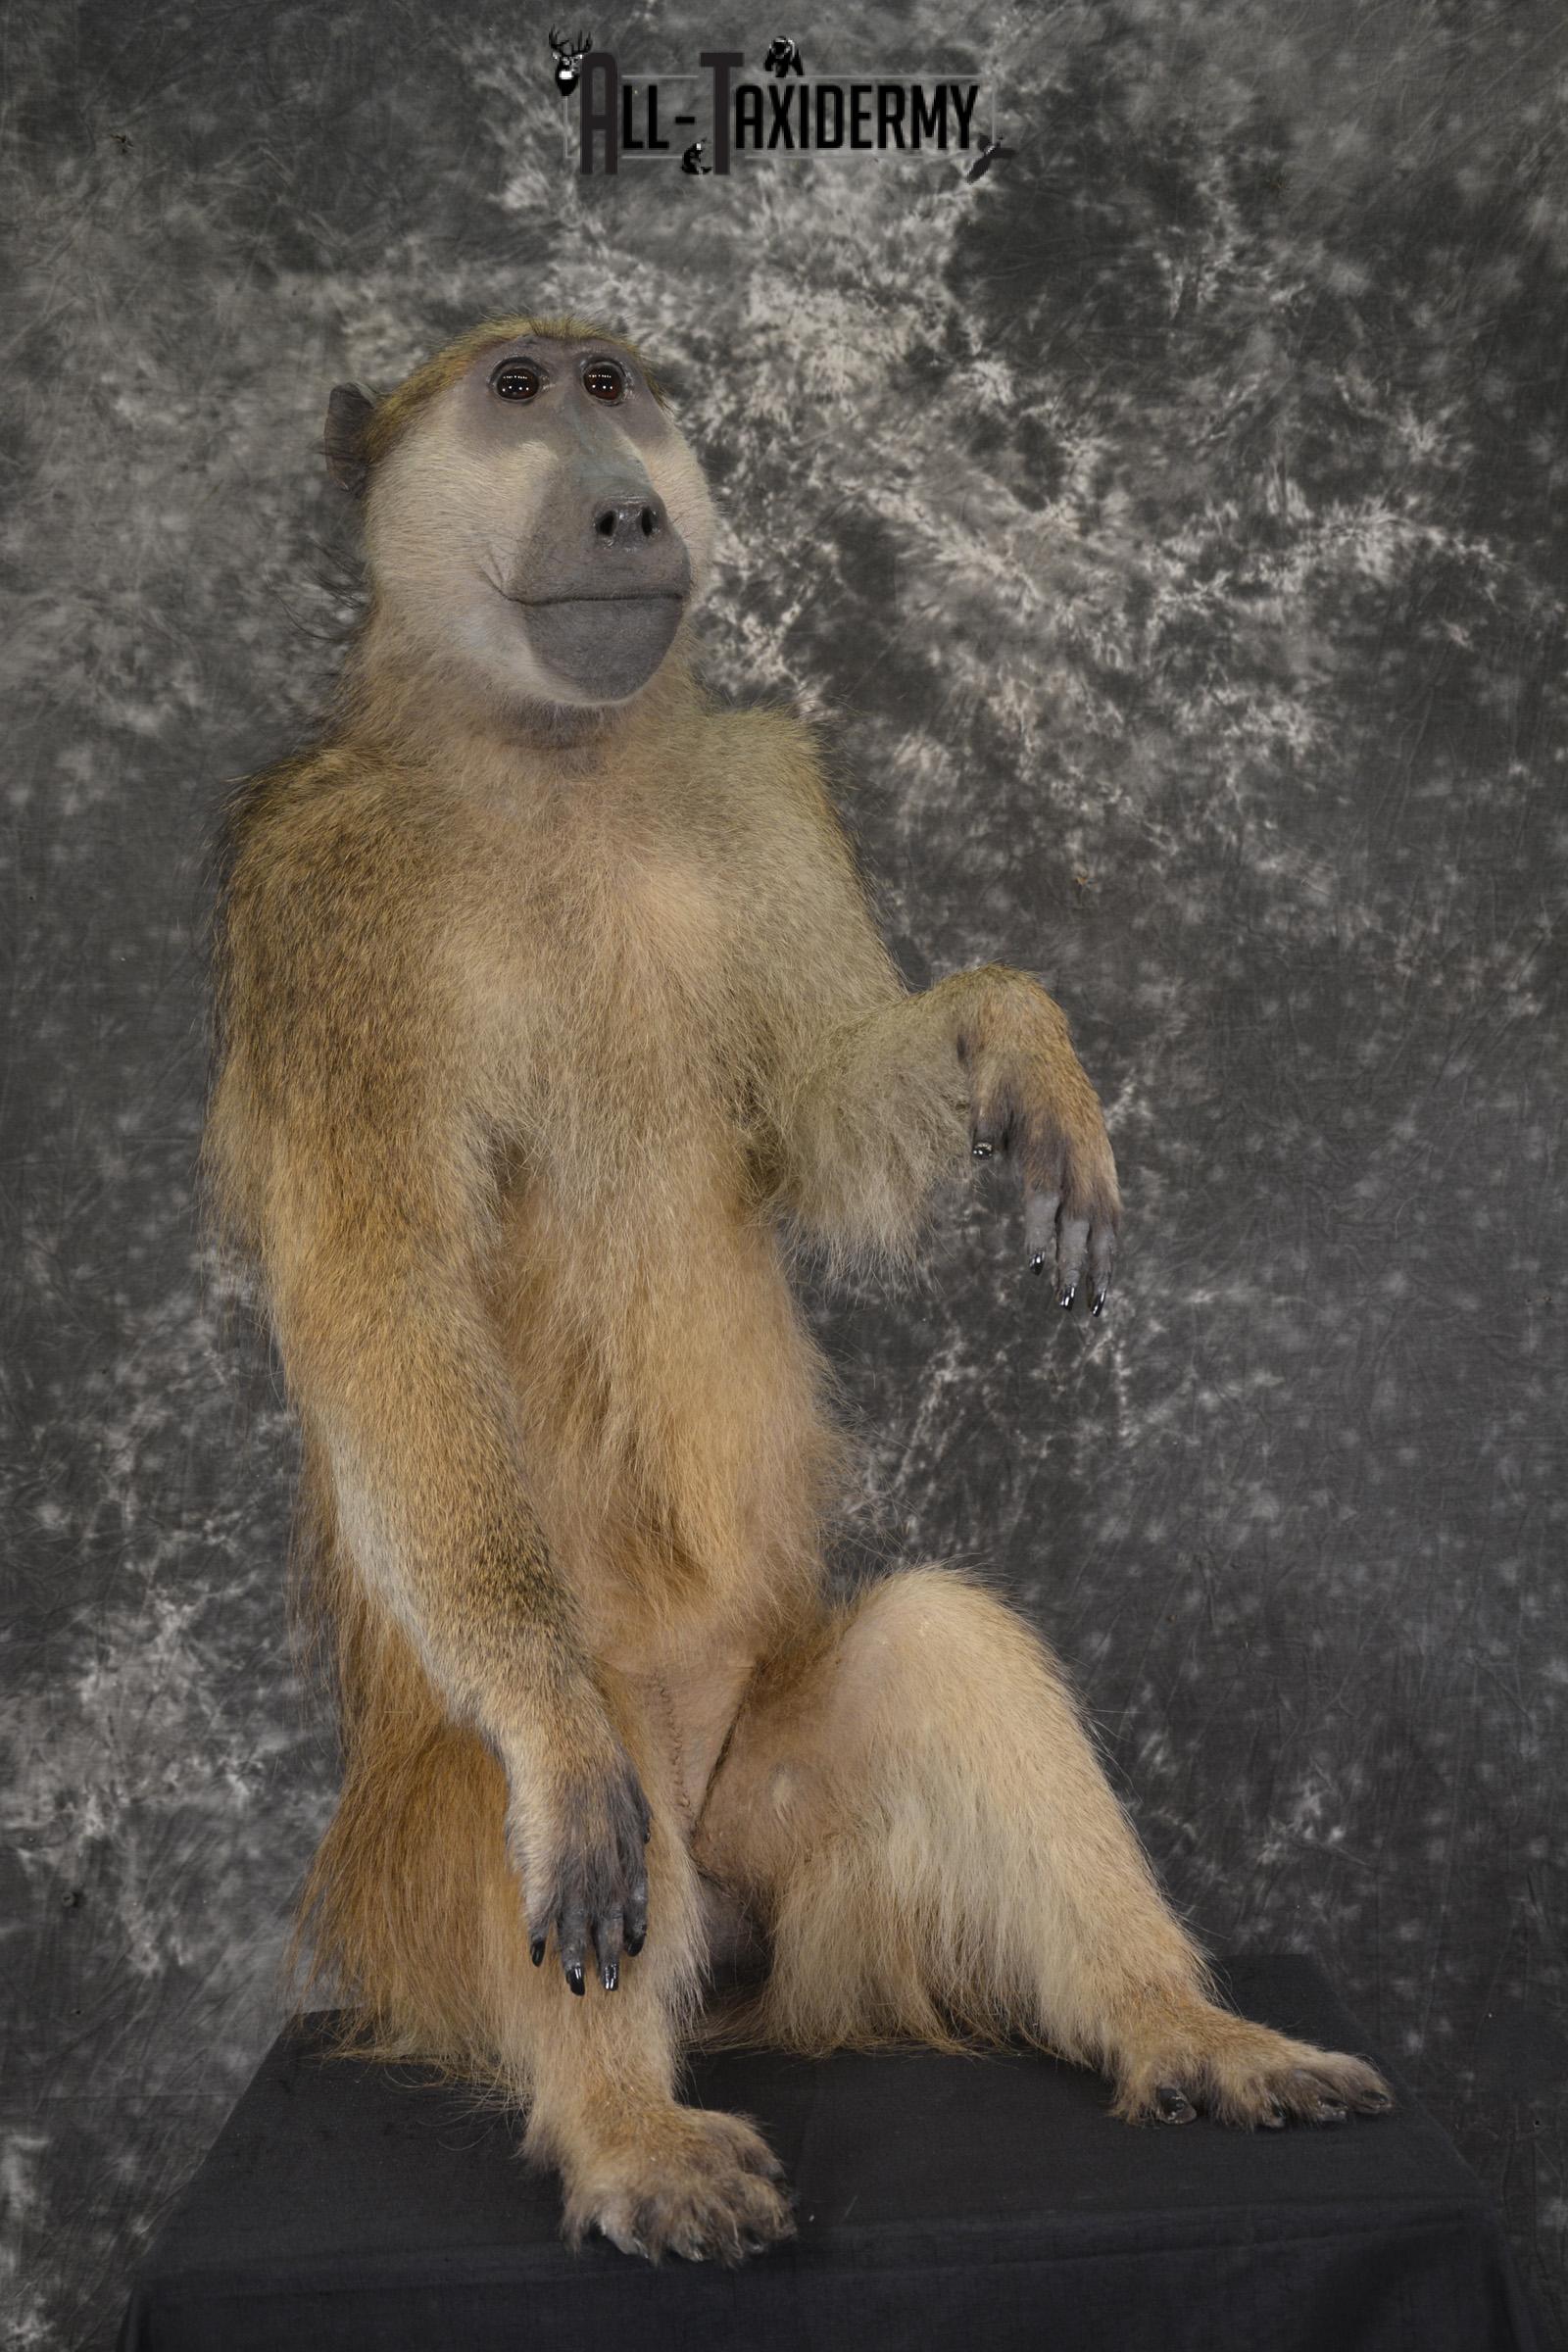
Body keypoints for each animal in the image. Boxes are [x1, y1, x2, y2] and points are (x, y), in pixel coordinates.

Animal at [205, 311, 1393, 2268]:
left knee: (936, 1646)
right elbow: (380, 1305)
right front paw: (548, 1729)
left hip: (796, 1856)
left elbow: (819, 1128)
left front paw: (1009, 1036)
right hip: (463, 1870)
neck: (556, 765)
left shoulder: (755, 791)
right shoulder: (322, 902)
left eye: (615, 383)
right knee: (571, 1818)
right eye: (518, 392)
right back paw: (628, 2125)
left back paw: (1185, 2030)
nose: (626, 508)